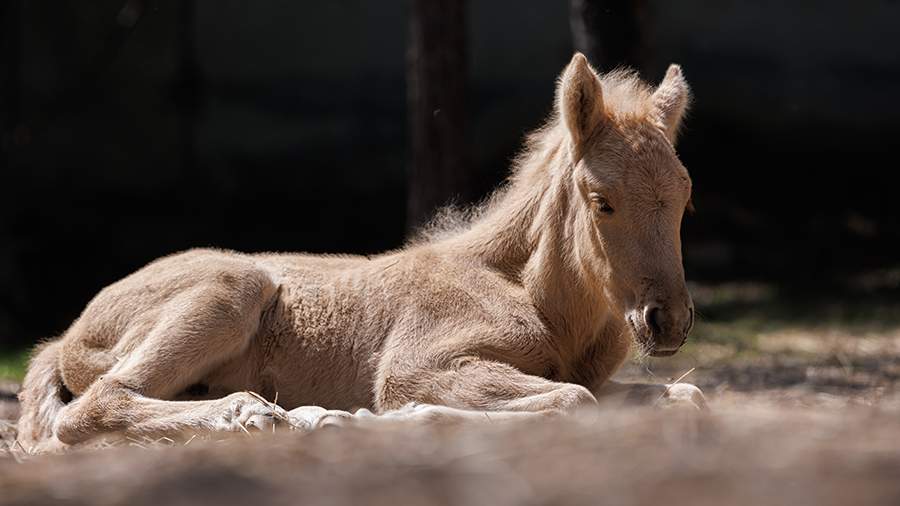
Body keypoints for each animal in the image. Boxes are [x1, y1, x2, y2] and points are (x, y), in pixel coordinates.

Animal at [15, 54, 704, 450]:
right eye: (601, 200)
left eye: (685, 196)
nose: (666, 321)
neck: (534, 297)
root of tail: (67, 336)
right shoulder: (418, 365)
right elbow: (570, 401)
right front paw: (371, 420)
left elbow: (682, 399)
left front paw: (344, 419)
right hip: (227, 292)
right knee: (94, 407)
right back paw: (253, 419)